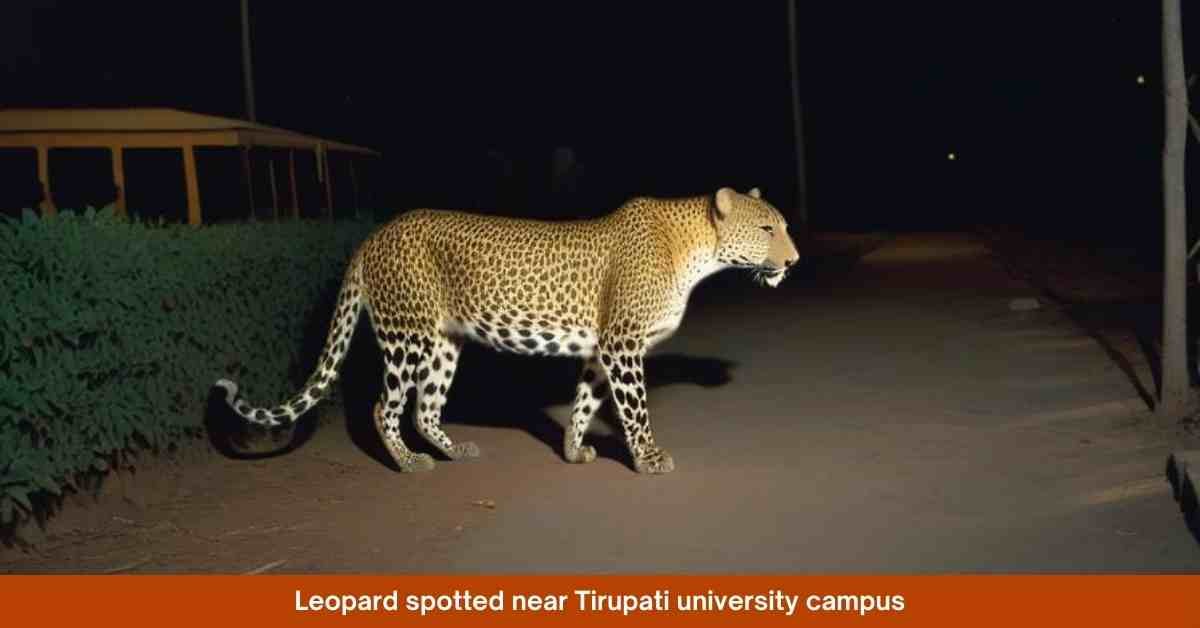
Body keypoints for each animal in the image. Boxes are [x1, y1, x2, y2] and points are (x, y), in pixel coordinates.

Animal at [215, 186, 800, 474]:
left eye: (785, 226)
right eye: (767, 228)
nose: (794, 260)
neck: (699, 252)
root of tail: (373, 237)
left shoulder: (600, 350)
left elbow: (584, 403)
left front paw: (573, 452)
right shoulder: (623, 345)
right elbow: (635, 411)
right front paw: (650, 459)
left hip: (445, 343)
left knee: (426, 408)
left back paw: (454, 452)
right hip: (408, 335)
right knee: (386, 406)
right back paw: (410, 464)